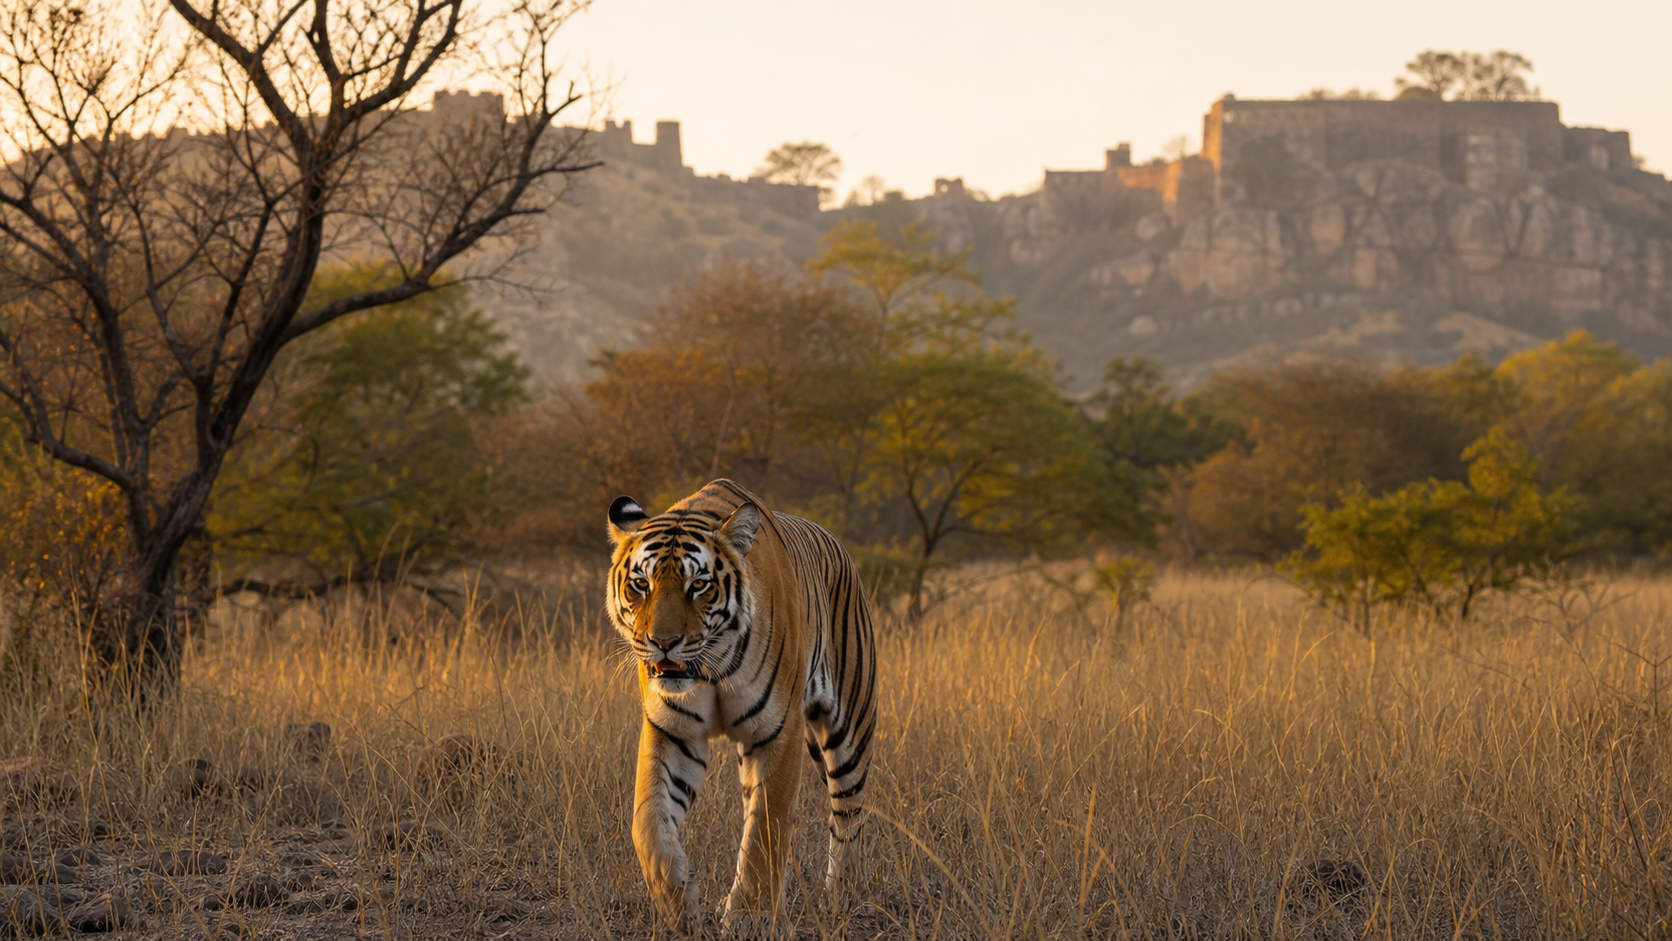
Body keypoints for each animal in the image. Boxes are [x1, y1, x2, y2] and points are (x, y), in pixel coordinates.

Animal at [605, 478, 878, 935]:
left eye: (698, 585)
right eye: (641, 584)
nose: (663, 642)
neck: (711, 669)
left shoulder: (778, 731)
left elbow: (767, 829)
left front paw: (753, 917)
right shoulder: (671, 733)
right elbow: (647, 823)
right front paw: (679, 904)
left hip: (850, 728)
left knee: (848, 814)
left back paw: (845, 895)